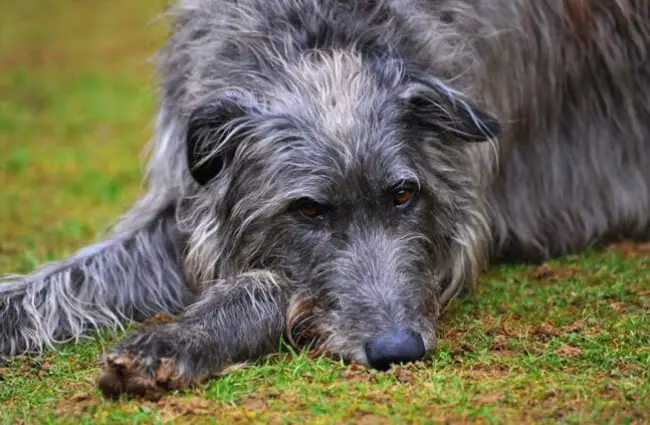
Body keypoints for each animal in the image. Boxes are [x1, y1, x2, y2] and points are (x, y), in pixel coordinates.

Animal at [0, 0, 644, 398]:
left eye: (404, 194)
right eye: (307, 210)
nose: (397, 349)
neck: (321, 30)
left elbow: (271, 284)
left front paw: (174, 340)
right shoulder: (189, 196)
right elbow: (72, 279)